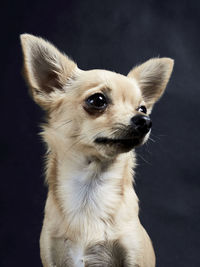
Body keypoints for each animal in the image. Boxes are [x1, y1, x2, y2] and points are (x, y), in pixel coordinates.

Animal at [19, 34, 173, 266]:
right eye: (97, 100)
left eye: (143, 108)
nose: (145, 121)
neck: (91, 187)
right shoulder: (51, 254)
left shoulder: (135, 255)